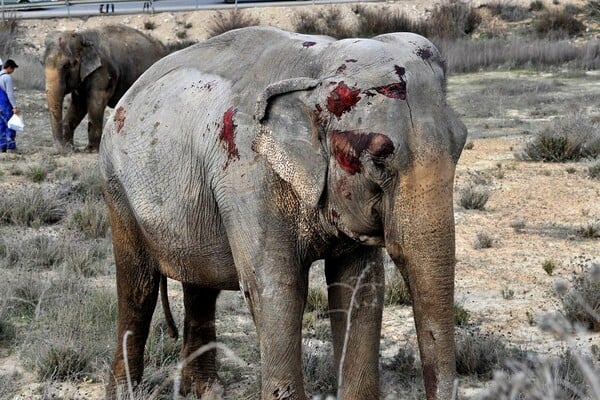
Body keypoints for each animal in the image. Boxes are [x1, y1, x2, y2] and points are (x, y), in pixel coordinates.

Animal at [43, 24, 166, 152]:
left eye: (66, 65)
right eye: (42, 63)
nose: (63, 150)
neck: (83, 36)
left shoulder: (103, 71)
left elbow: (95, 103)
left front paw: (91, 150)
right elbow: (78, 104)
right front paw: (71, 147)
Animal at [99, 26, 468, 398]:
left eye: (462, 143)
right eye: (379, 158)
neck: (317, 67)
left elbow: (359, 289)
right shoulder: (248, 177)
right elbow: (277, 289)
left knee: (201, 284)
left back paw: (206, 390)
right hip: (116, 187)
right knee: (138, 286)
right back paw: (125, 391)